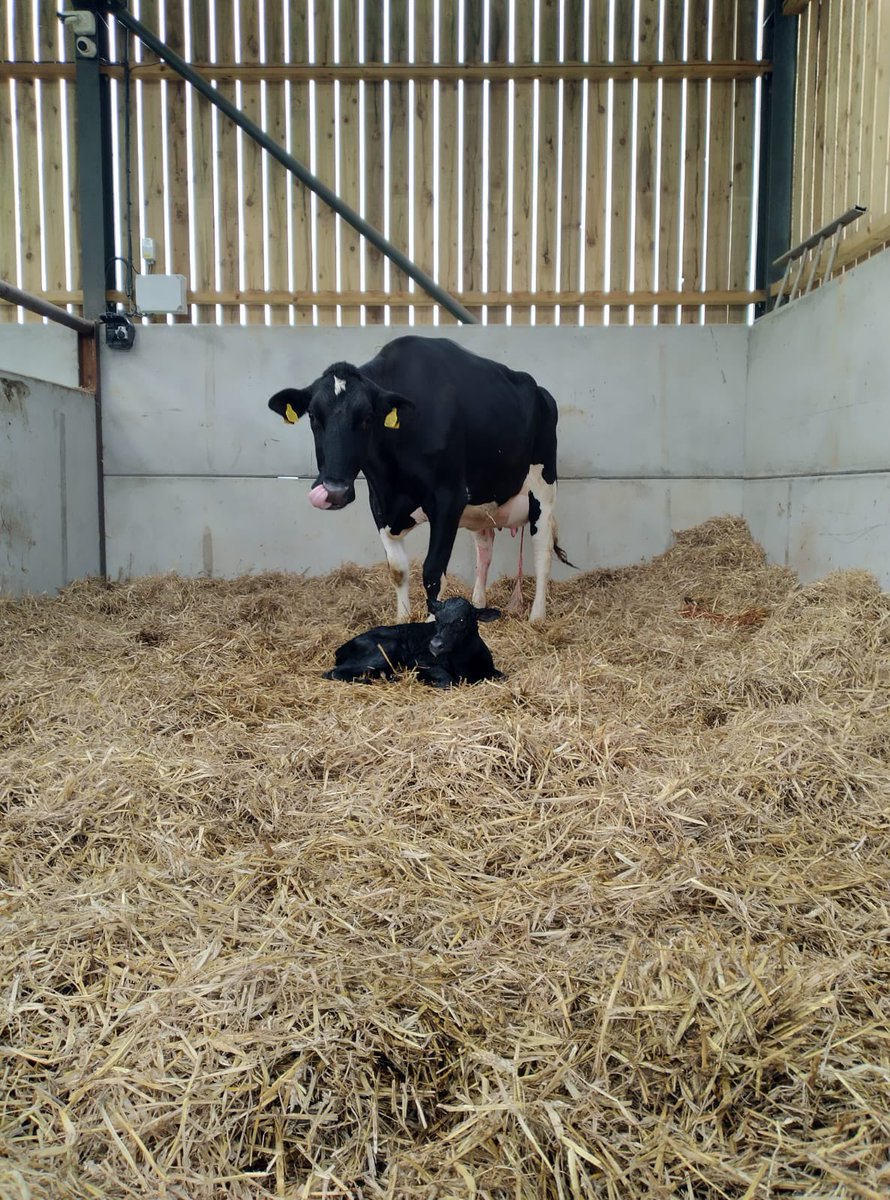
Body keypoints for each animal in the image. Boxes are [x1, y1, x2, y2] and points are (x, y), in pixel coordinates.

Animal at [268, 335, 570, 623]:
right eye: (313, 417)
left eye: (367, 417)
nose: (334, 491)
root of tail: (541, 392)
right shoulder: (379, 504)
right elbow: (398, 570)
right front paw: (402, 618)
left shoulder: (449, 498)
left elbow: (433, 571)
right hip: (484, 505)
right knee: (484, 551)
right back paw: (479, 603)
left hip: (543, 489)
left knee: (542, 552)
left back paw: (537, 617)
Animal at [324, 597, 503, 688]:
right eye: (437, 618)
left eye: (461, 620)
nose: (435, 645)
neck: (462, 662)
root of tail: (340, 649)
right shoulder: (418, 661)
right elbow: (448, 680)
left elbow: (502, 676)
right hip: (384, 650)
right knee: (333, 673)